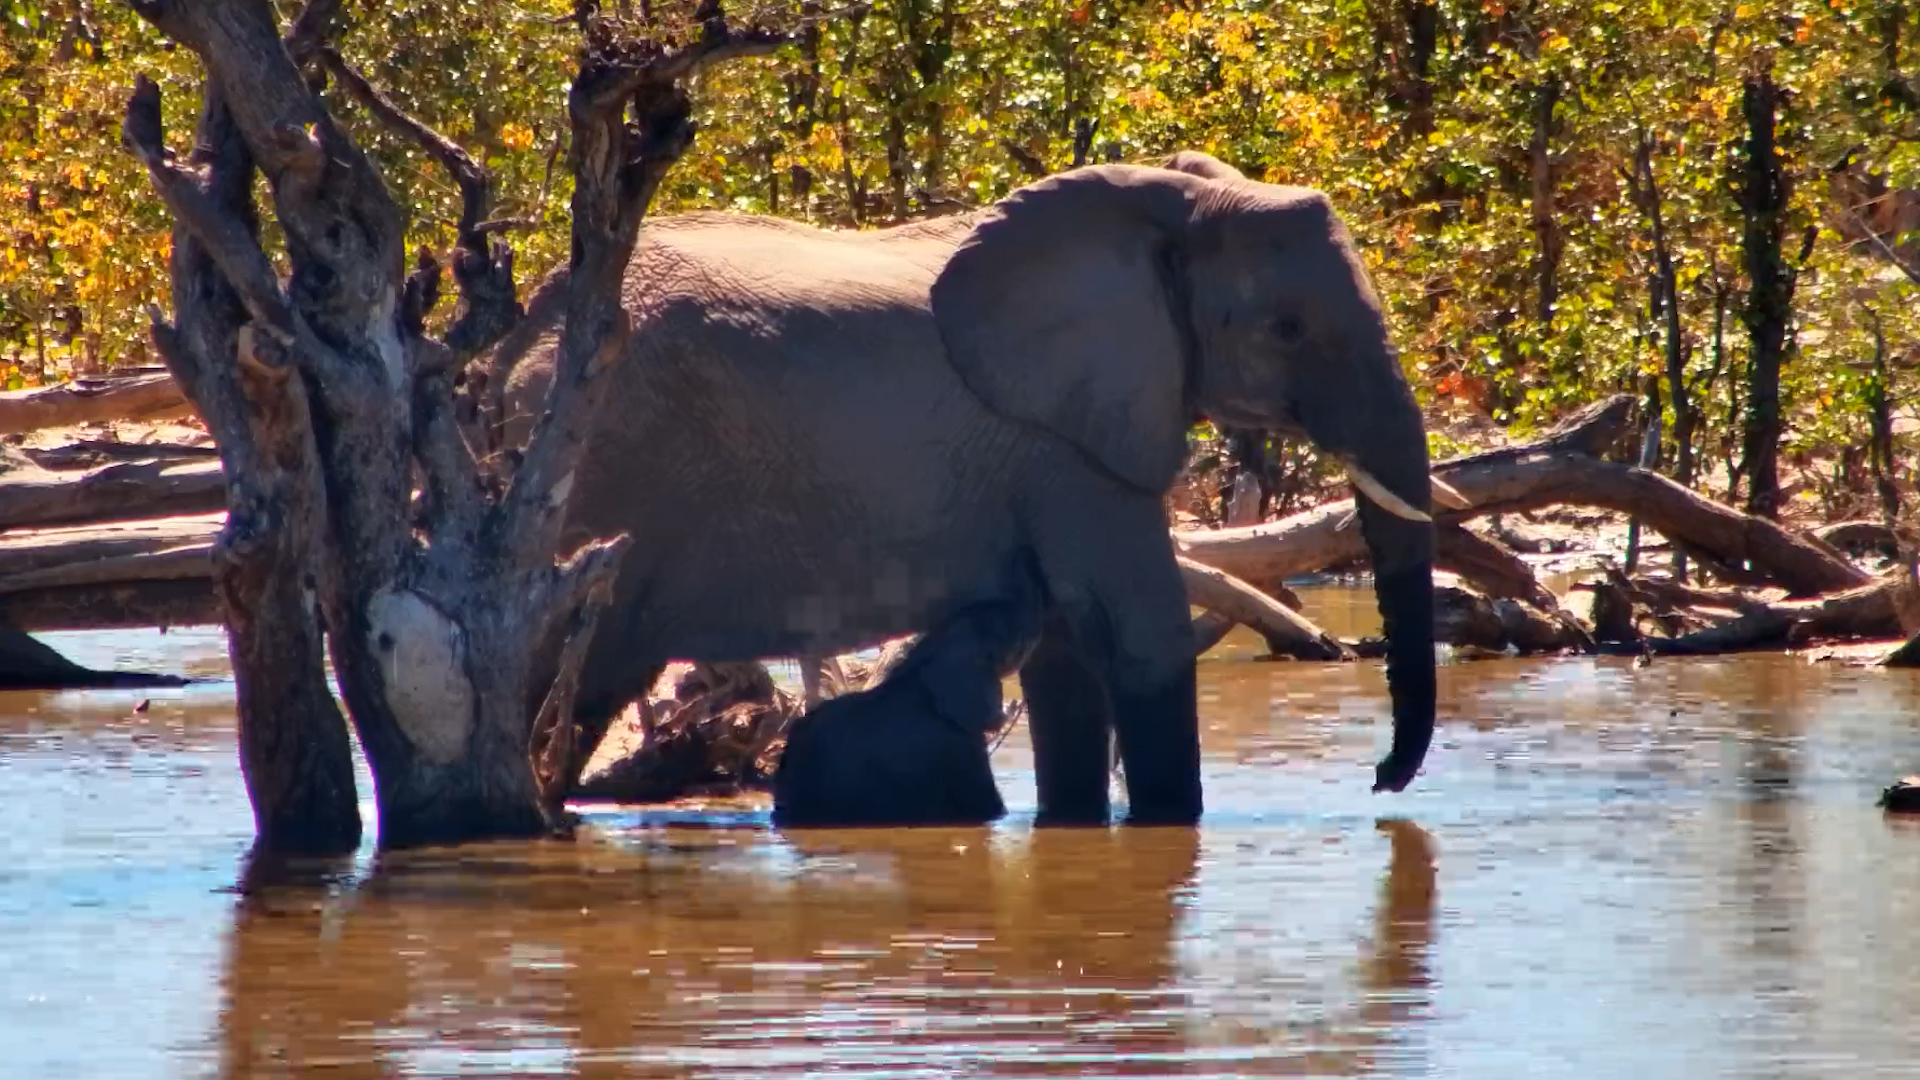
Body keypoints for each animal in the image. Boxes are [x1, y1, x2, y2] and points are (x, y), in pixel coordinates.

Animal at [497, 149, 1439, 825]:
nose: (1380, 780)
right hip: (596, 470)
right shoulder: (1063, 440)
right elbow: (1142, 633)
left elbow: (1066, 653)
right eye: (1288, 329)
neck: (1171, 204)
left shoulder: (1052, 448)